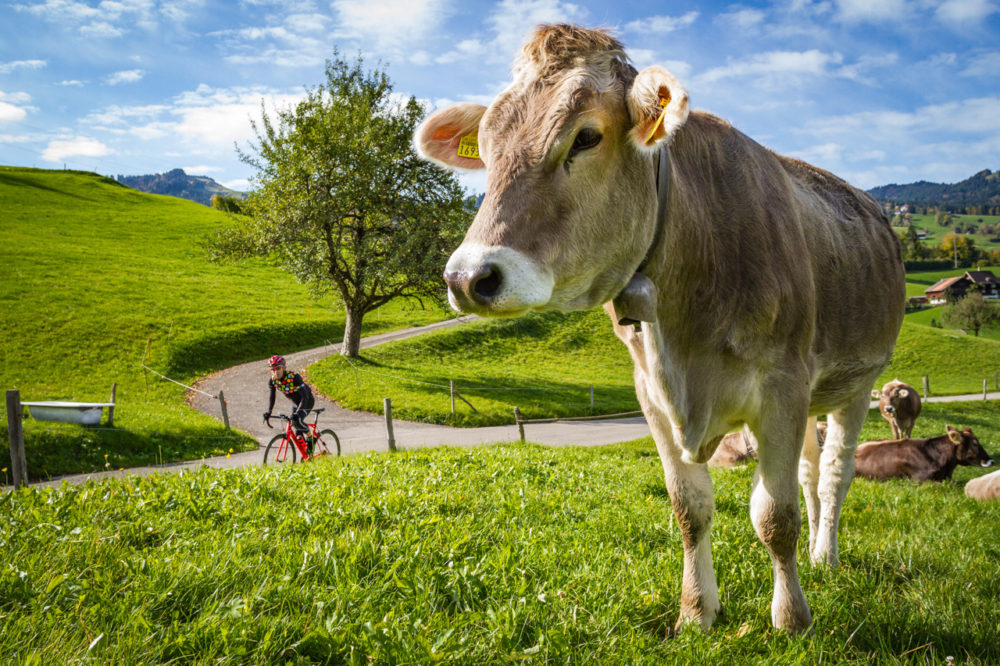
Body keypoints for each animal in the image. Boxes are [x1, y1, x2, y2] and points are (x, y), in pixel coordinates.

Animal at [415, 25, 905, 634]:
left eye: (586, 137)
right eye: (485, 148)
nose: (467, 277)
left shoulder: (783, 385)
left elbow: (775, 514)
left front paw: (791, 617)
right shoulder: (650, 390)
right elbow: (690, 508)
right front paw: (696, 611)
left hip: (856, 385)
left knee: (835, 473)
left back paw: (825, 556)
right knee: (813, 474)